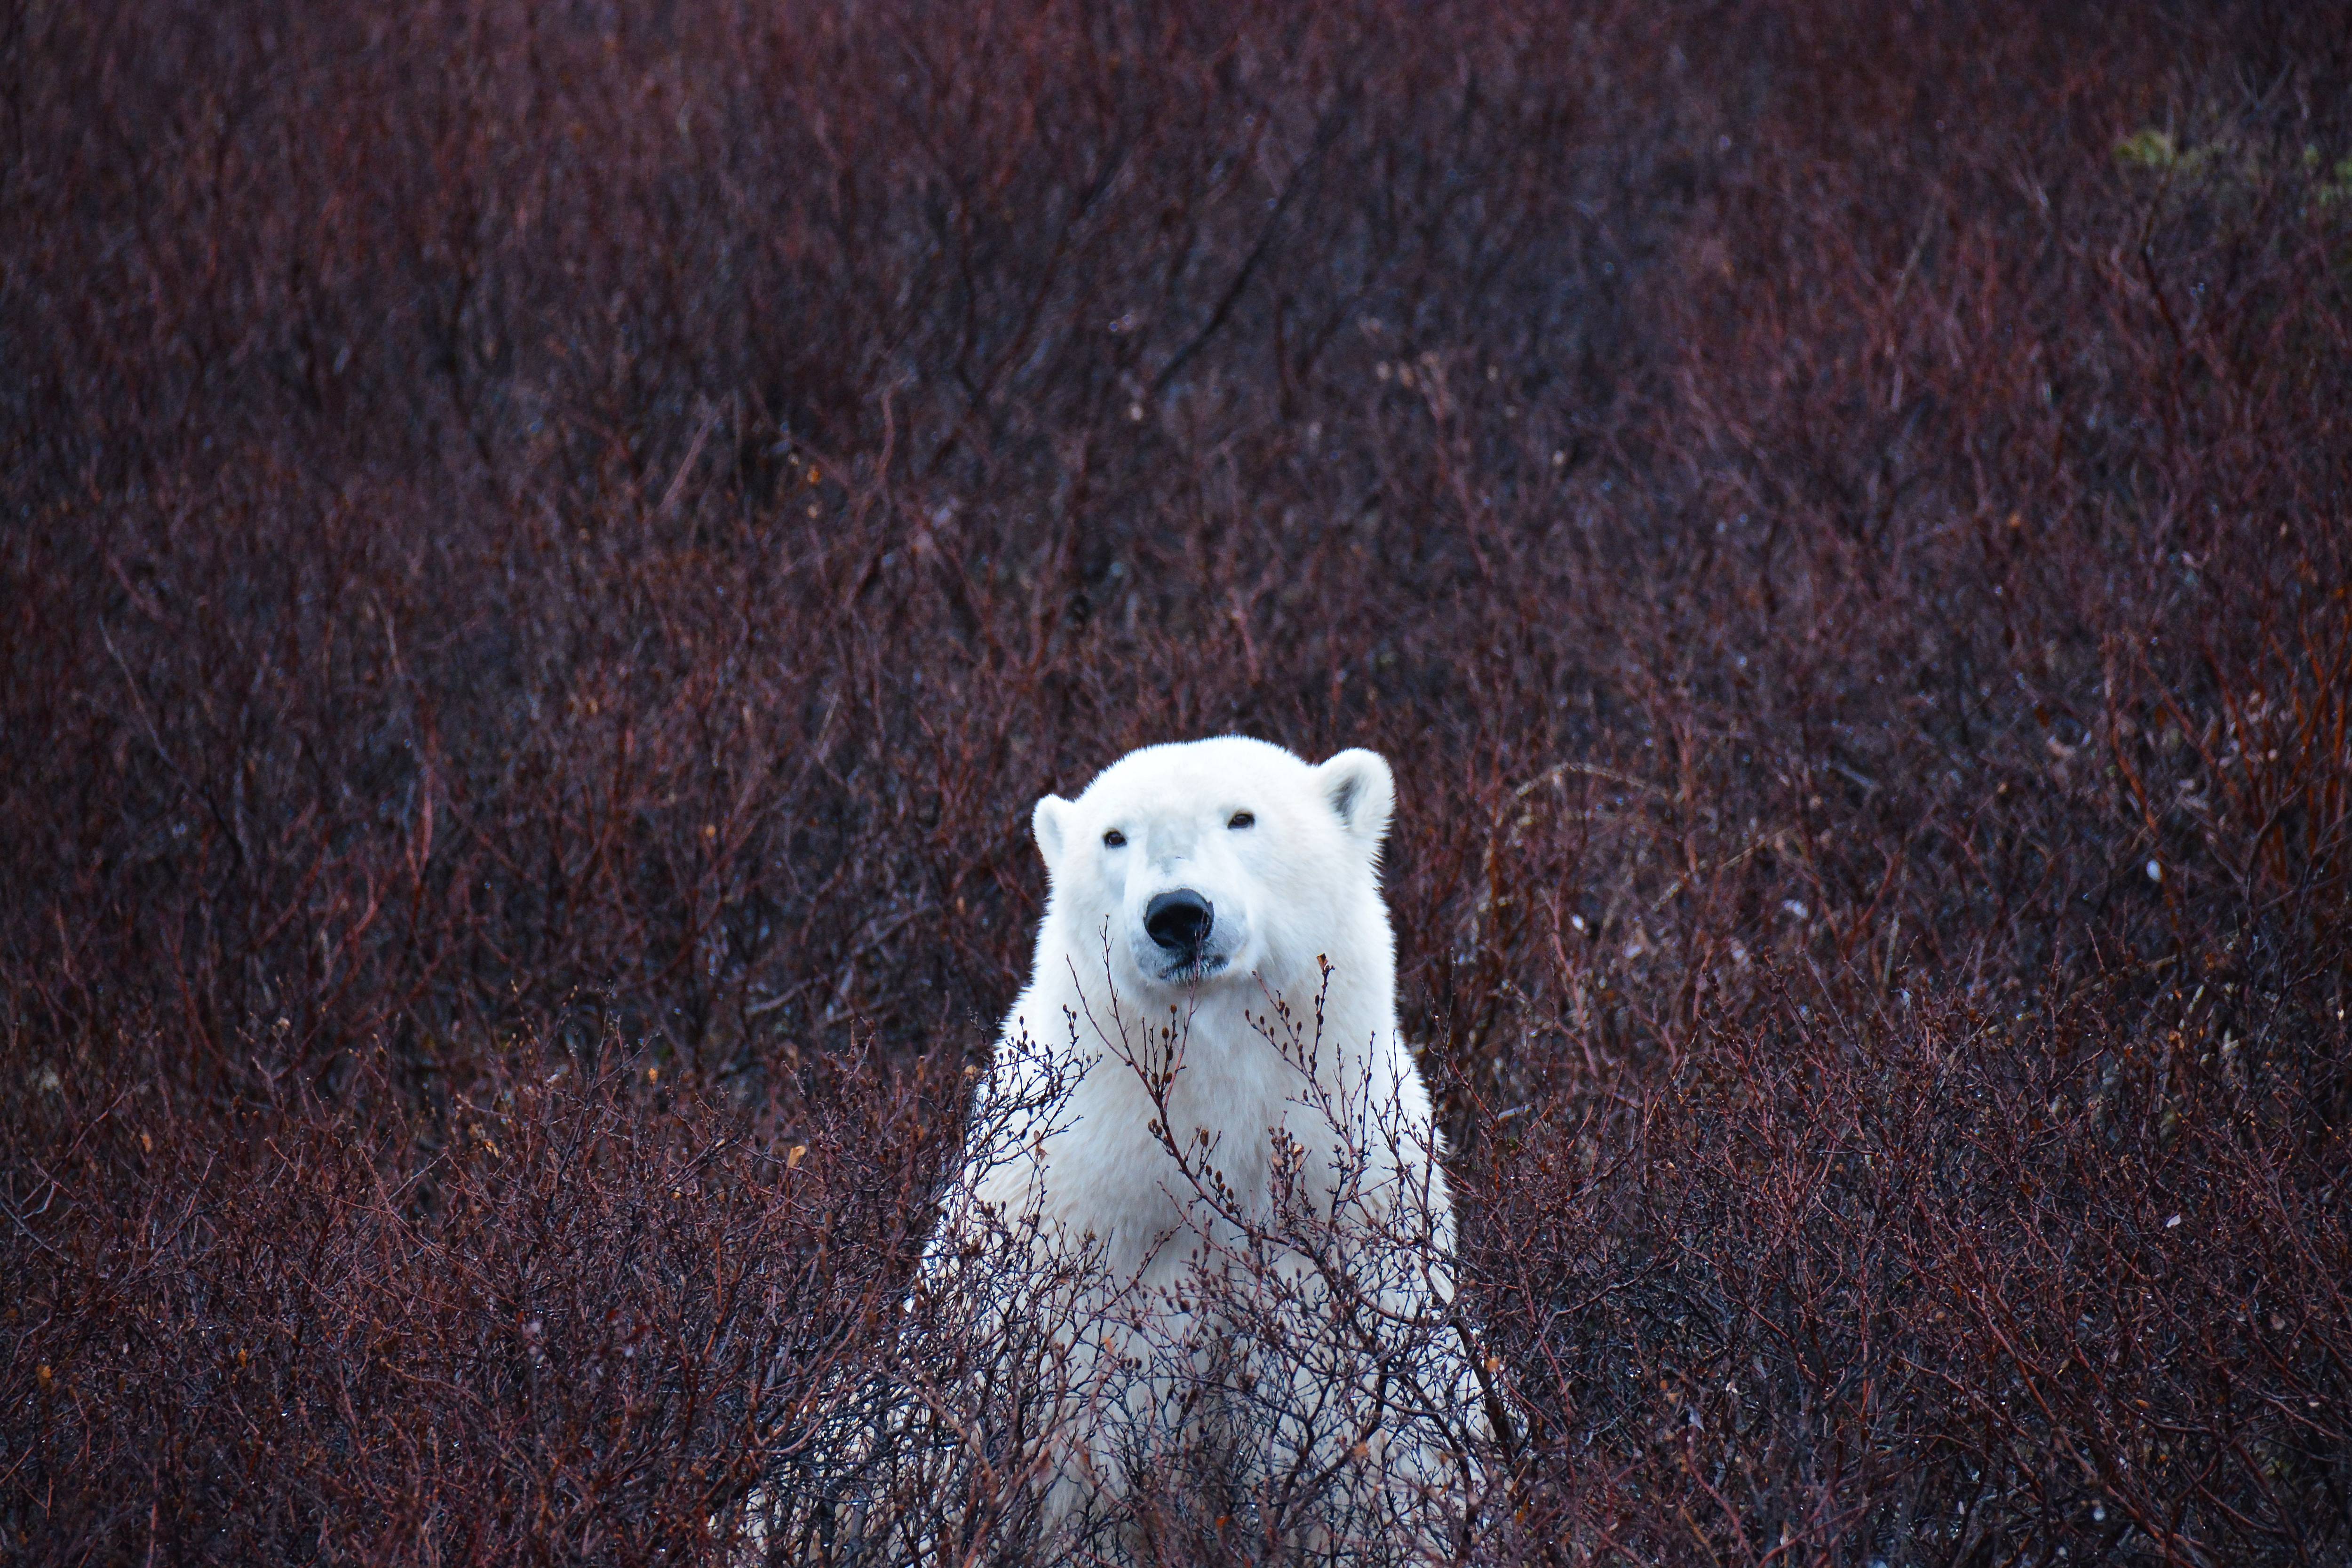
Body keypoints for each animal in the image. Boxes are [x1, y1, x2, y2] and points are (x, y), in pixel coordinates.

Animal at [921, 736, 1491, 1556]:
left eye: (1241, 817)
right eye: (1114, 836)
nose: (1179, 913)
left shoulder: (1349, 1241)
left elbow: (1376, 1450)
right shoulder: (1071, 1281)